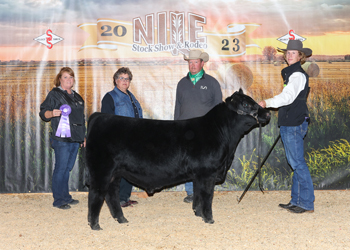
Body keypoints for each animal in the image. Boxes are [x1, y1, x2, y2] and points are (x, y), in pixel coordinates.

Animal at [85, 90, 270, 230]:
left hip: (115, 173)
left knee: (111, 195)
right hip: (101, 170)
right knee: (96, 194)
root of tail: (99, 116)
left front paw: (197, 213)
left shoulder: (199, 175)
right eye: (246, 105)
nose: (267, 112)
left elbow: (198, 194)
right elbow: (207, 196)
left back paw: (121, 219)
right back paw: (95, 225)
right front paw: (209, 219)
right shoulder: (208, 173)